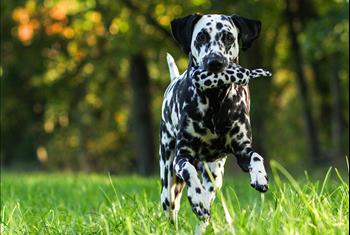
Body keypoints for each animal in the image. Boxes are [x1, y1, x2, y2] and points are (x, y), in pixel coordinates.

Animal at [159, 13, 270, 228]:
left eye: (228, 37)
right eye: (201, 36)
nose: (215, 62)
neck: (215, 102)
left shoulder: (242, 149)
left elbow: (256, 156)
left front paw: (260, 176)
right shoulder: (183, 156)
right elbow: (189, 172)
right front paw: (197, 199)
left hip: (215, 174)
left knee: (210, 194)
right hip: (168, 177)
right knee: (171, 205)